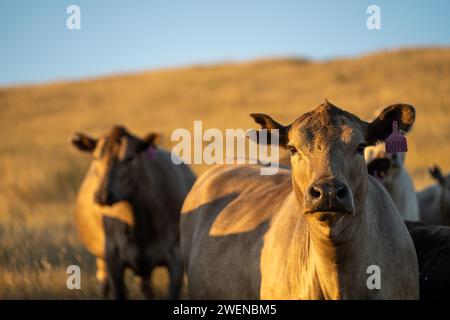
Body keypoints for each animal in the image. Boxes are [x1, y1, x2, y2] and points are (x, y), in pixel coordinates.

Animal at [72, 125, 195, 300]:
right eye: (95, 157)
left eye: (130, 158)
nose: (102, 195)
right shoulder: (112, 255)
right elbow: (118, 292)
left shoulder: (176, 257)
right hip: (101, 258)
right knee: (104, 284)